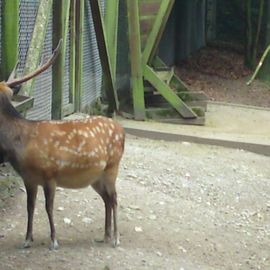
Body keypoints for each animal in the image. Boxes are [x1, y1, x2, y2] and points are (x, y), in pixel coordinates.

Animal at [0, 41, 125, 250]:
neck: (22, 144)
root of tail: (122, 131)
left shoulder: (50, 173)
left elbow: (48, 207)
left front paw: (54, 241)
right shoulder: (29, 178)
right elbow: (30, 207)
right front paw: (27, 239)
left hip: (112, 167)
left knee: (114, 198)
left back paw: (115, 238)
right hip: (95, 177)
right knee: (107, 199)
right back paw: (105, 236)